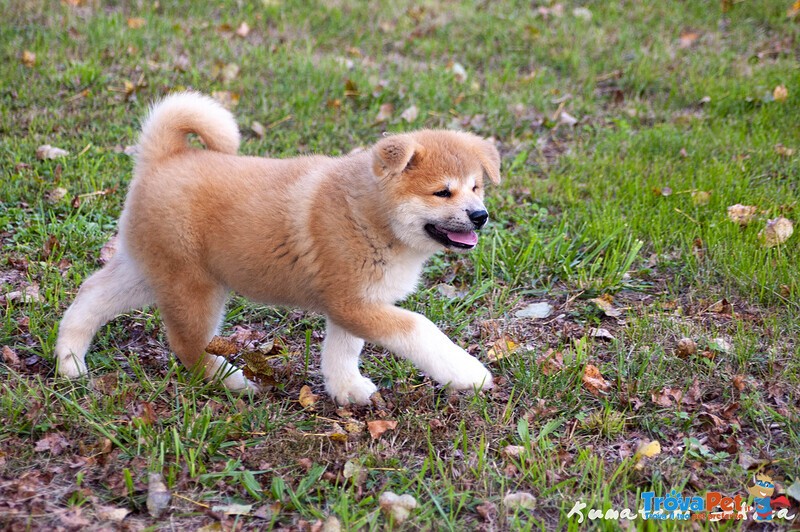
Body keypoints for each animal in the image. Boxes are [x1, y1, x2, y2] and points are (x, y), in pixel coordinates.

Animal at [57, 93, 500, 406]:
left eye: (476, 187)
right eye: (442, 192)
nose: (480, 216)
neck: (370, 215)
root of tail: (163, 158)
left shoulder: (354, 304)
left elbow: (342, 350)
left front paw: (347, 389)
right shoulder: (353, 302)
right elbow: (420, 330)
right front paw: (466, 371)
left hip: (149, 273)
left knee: (90, 295)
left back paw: (69, 361)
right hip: (193, 286)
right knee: (187, 346)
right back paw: (233, 381)